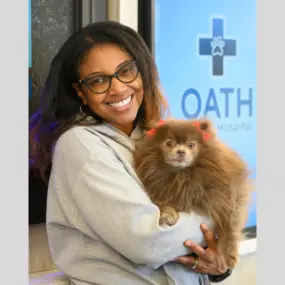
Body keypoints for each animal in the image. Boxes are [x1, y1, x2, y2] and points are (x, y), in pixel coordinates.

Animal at [133, 117, 251, 266]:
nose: (181, 151)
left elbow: (229, 222)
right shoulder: (164, 190)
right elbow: (166, 204)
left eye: (191, 145)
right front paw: (168, 215)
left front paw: (230, 254)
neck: (182, 175)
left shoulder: (228, 194)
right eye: (169, 143)